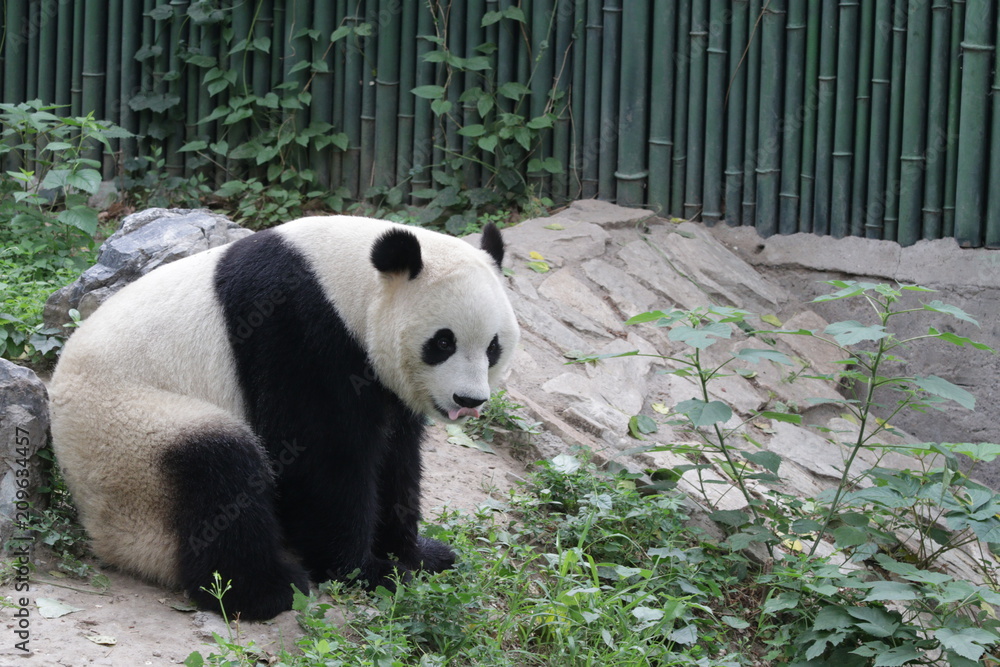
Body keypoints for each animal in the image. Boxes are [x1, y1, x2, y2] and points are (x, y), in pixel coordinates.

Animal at [48, 215, 519, 621]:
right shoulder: (296, 329)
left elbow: (396, 456)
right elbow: (318, 456)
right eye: (443, 342)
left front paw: (421, 554)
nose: (468, 399)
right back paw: (265, 591)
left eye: (493, 346)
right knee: (218, 470)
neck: (344, 281)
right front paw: (367, 571)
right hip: (131, 435)